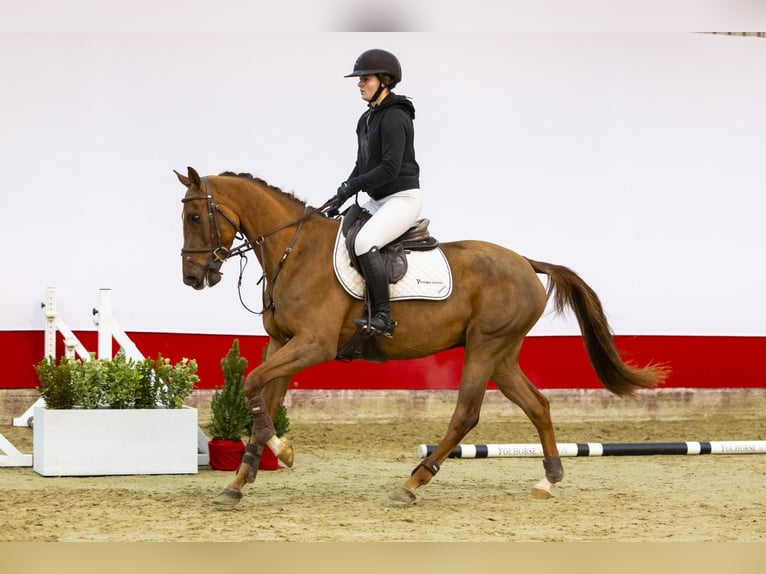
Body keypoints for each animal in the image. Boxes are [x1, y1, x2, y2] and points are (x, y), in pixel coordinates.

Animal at [177, 166, 668, 508]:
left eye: (196, 215)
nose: (192, 278)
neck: (293, 250)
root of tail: (527, 262)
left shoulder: (313, 344)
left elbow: (252, 384)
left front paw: (283, 451)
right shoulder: (282, 343)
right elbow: (263, 397)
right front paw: (239, 482)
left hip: (485, 347)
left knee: (466, 414)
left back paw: (413, 483)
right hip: (502, 354)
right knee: (538, 405)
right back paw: (547, 479)